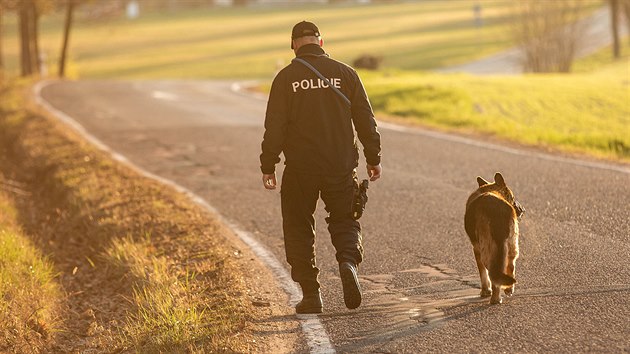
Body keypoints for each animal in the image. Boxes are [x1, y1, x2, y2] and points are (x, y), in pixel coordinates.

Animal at [466, 172, 524, 304]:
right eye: (513, 198)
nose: (522, 210)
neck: (490, 189)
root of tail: (497, 211)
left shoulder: (476, 249)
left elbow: (483, 274)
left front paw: (485, 291)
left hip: (486, 252)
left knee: (493, 275)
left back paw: (495, 298)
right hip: (512, 245)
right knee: (510, 266)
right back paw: (508, 289)